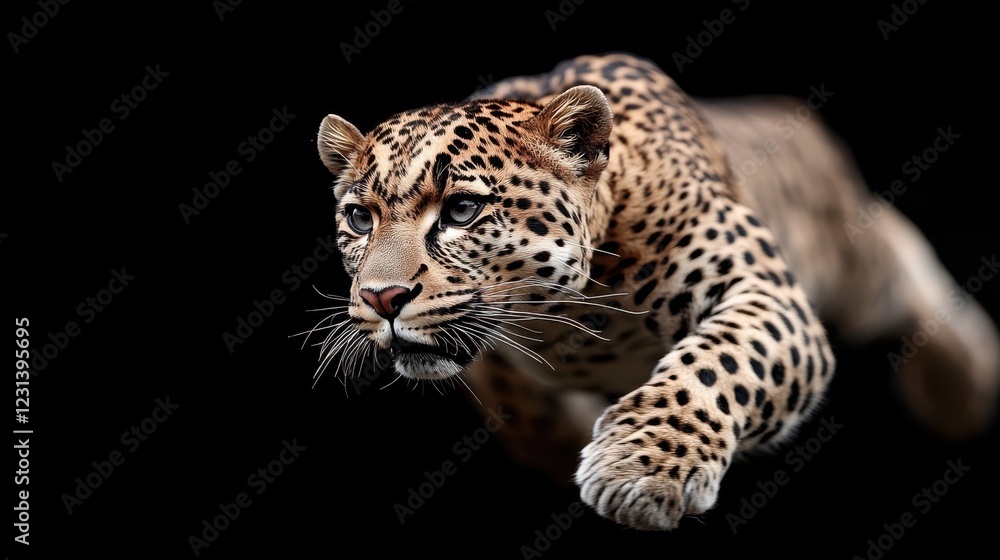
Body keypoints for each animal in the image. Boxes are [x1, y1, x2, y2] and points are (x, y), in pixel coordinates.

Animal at [313, 52, 1000, 530]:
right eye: (359, 219)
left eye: (461, 210)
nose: (381, 298)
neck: (565, 319)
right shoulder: (501, 376)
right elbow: (534, 421)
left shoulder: (761, 290)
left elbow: (719, 363)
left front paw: (641, 468)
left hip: (849, 264)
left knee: (891, 248)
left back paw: (963, 387)